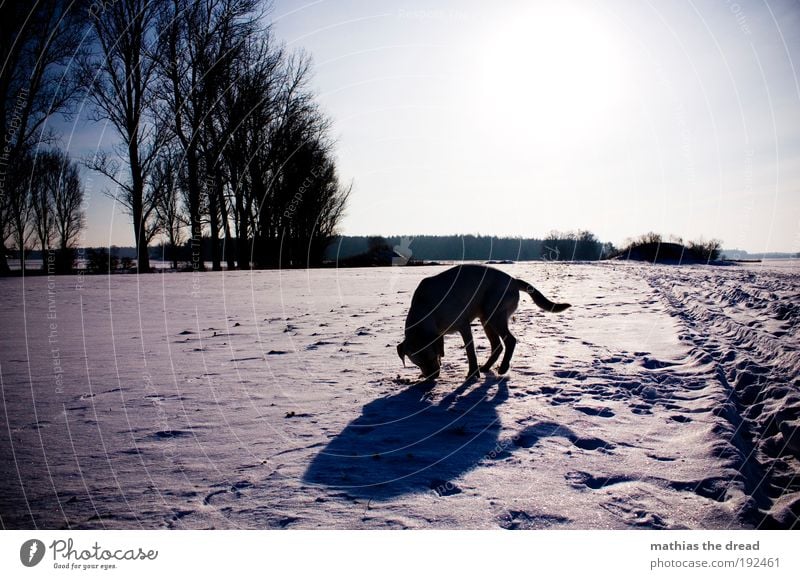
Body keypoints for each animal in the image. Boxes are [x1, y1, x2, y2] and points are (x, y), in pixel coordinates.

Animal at [394, 266, 568, 382]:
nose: (433, 377)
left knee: (510, 340)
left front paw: (472, 373)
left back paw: (503, 367)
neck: (426, 307)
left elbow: (470, 351)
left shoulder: (463, 326)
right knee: (497, 345)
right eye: (418, 363)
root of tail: (513, 280)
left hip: (494, 314)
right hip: (486, 319)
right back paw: (485, 367)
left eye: (431, 358)